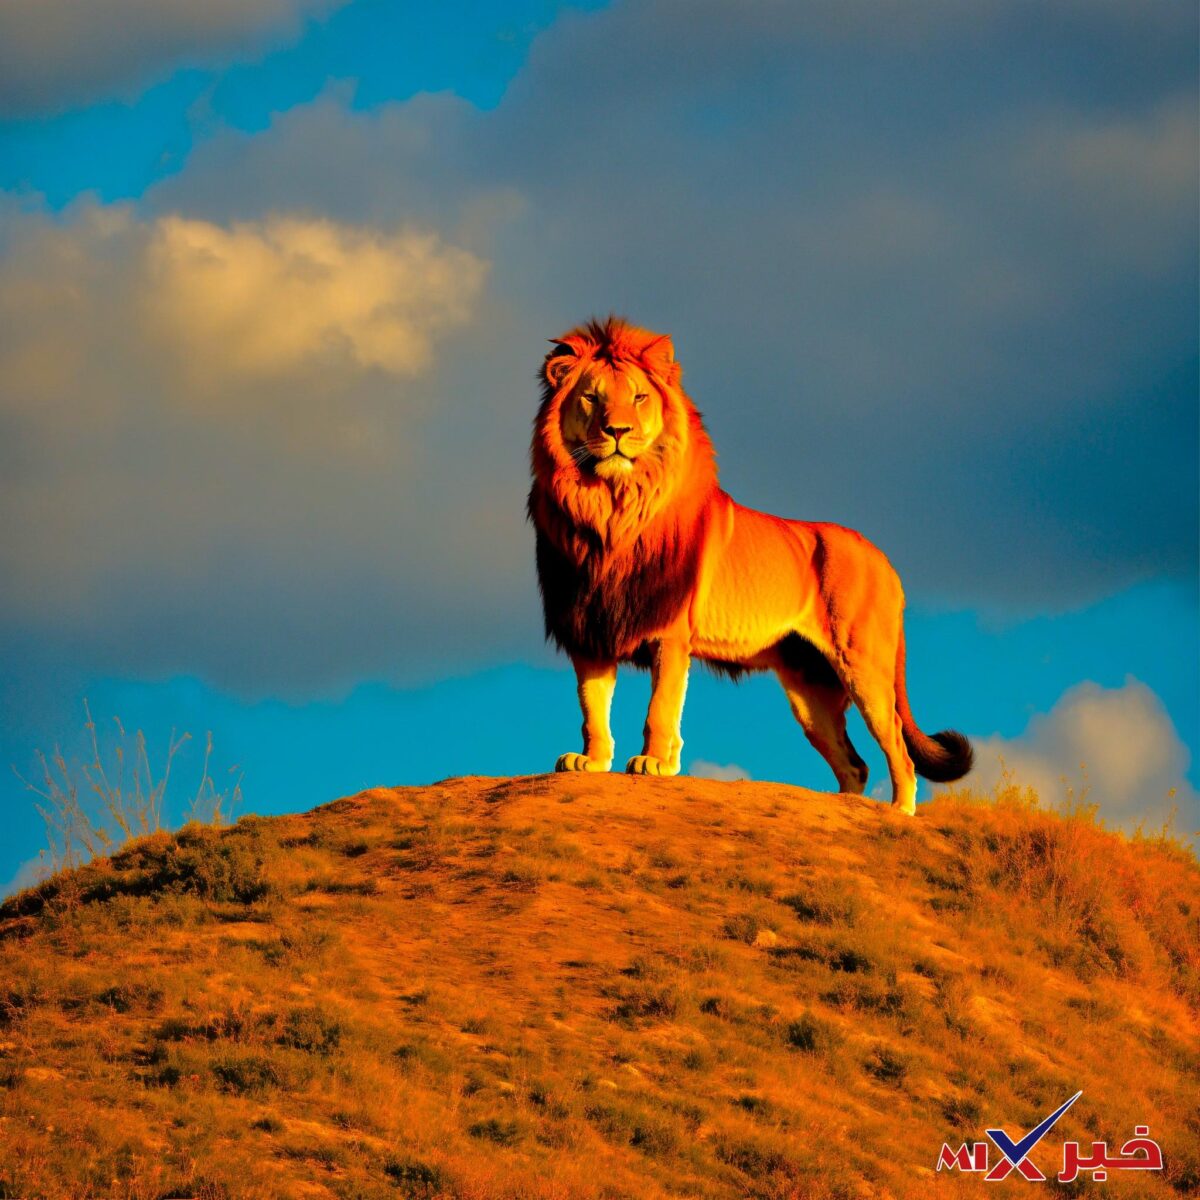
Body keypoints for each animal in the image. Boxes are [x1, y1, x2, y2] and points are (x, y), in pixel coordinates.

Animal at [527, 316, 972, 813]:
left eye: (639, 397)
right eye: (592, 397)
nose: (617, 431)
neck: (610, 510)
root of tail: (884, 559)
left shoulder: (670, 631)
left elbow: (661, 706)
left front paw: (654, 762)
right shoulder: (589, 630)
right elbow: (592, 706)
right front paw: (592, 761)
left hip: (863, 664)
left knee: (898, 745)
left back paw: (898, 812)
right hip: (810, 690)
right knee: (854, 764)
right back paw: (842, 806)